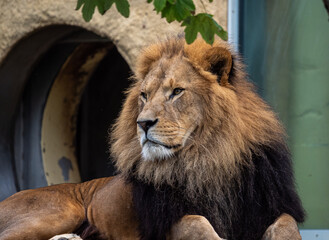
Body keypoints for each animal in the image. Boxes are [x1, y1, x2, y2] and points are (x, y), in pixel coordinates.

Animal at [0, 37, 304, 240]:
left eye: (176, 92)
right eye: (144, 96)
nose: (143, 123)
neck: (209, 157)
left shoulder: (264, 208)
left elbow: (287, 224)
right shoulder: (169, 218)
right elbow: (197, 224)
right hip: (61, 211)